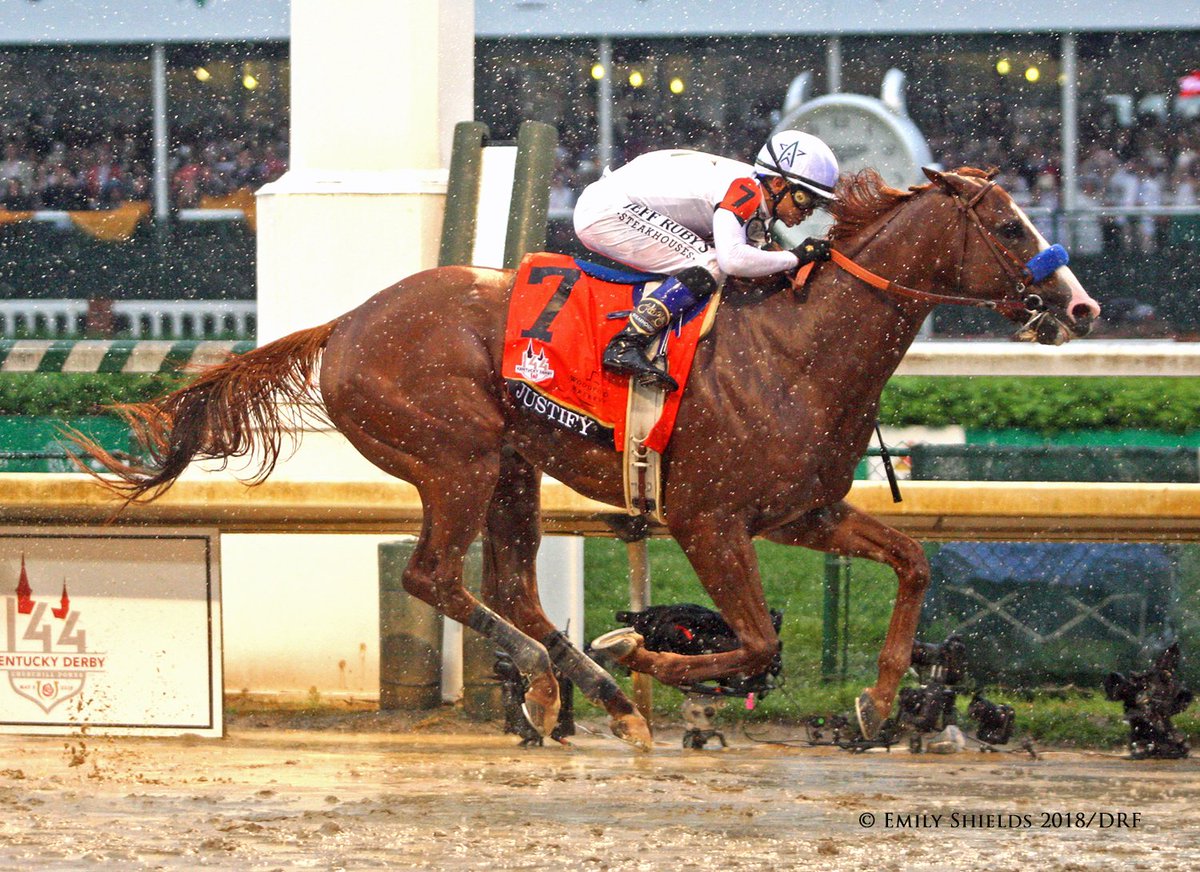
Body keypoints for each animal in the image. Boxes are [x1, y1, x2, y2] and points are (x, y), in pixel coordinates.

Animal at [75, 169, 1099, 748]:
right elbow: (757, 641)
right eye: (1008, 226)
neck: (798, 349)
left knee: (509, 583)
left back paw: (584, 689)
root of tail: (345, 324)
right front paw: (643, 651)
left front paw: (878, 704)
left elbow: (915, 564)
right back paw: (574, 676)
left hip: (515, 465)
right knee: (434, 576)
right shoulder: (708, 518)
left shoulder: (802, 513)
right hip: (457, 459)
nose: (1081, 308)